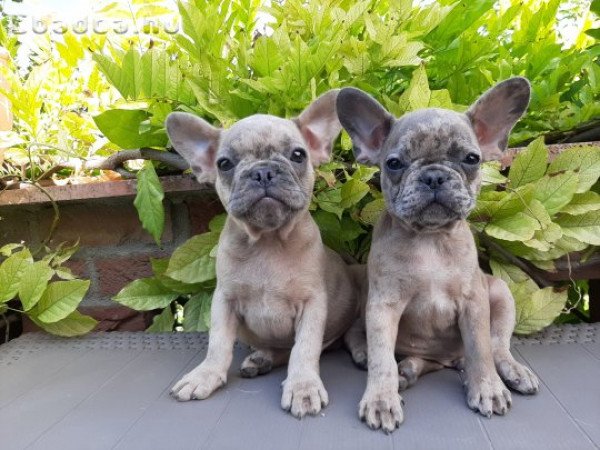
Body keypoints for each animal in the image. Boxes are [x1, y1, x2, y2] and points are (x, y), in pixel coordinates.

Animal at [163, 90, 366, 418]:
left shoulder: (312, 304)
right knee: (281, 349)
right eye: (224, 163)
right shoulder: (224, 301)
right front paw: (206, 374)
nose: (262, 171)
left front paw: (303, 385)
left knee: (348, 334)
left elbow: (304, 349)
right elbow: (218, 344)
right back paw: (262, 359)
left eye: (298, 155)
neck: (268, 241)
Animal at [338, 78, 540, 432]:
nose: (434, 175)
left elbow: (480, 348)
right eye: (394, 164)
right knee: (363, 339)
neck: (429, 239)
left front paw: (487, 387)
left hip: (500, 293)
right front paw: (381, 398)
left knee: (497, 345)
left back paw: (510, 371)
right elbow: (381, 357)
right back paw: (397, 369)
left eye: (471, 159)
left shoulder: (474, 303)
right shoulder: (383, 304)